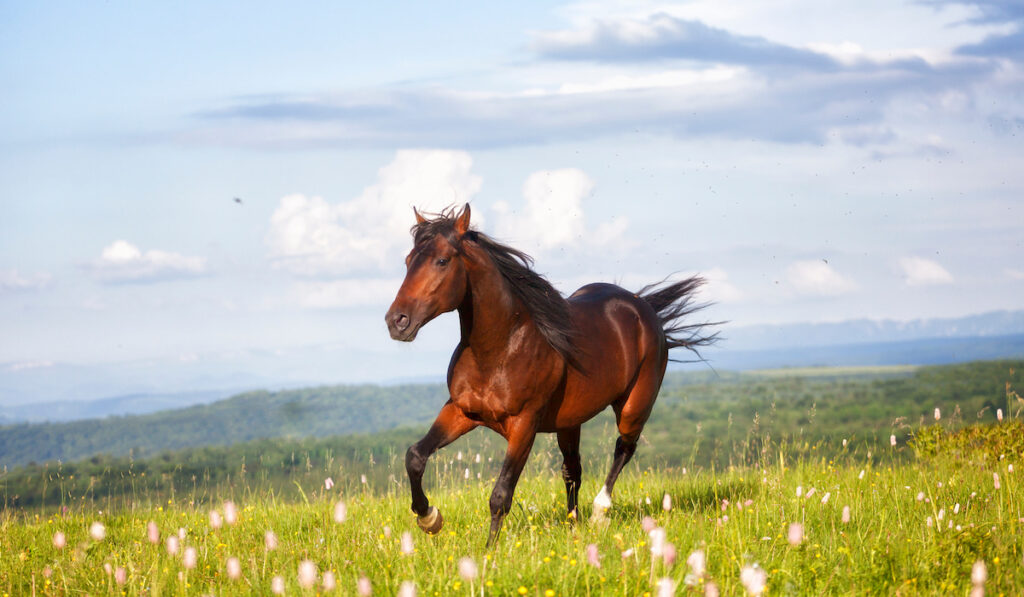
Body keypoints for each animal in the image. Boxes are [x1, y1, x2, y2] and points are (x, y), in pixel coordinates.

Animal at [385, 204, 720, 544]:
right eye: (409, 261)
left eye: (442, 260)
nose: (397, 321)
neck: (500, 348)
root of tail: (644, 308)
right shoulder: (461, 411)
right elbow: (415, 456)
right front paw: (429, 518)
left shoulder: (524, 424)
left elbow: (500, 494)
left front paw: (488, 552)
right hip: (569, 422)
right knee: (572, 470)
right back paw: (573, 524)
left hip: (633, 407)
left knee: (624, 447)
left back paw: (599, 512)